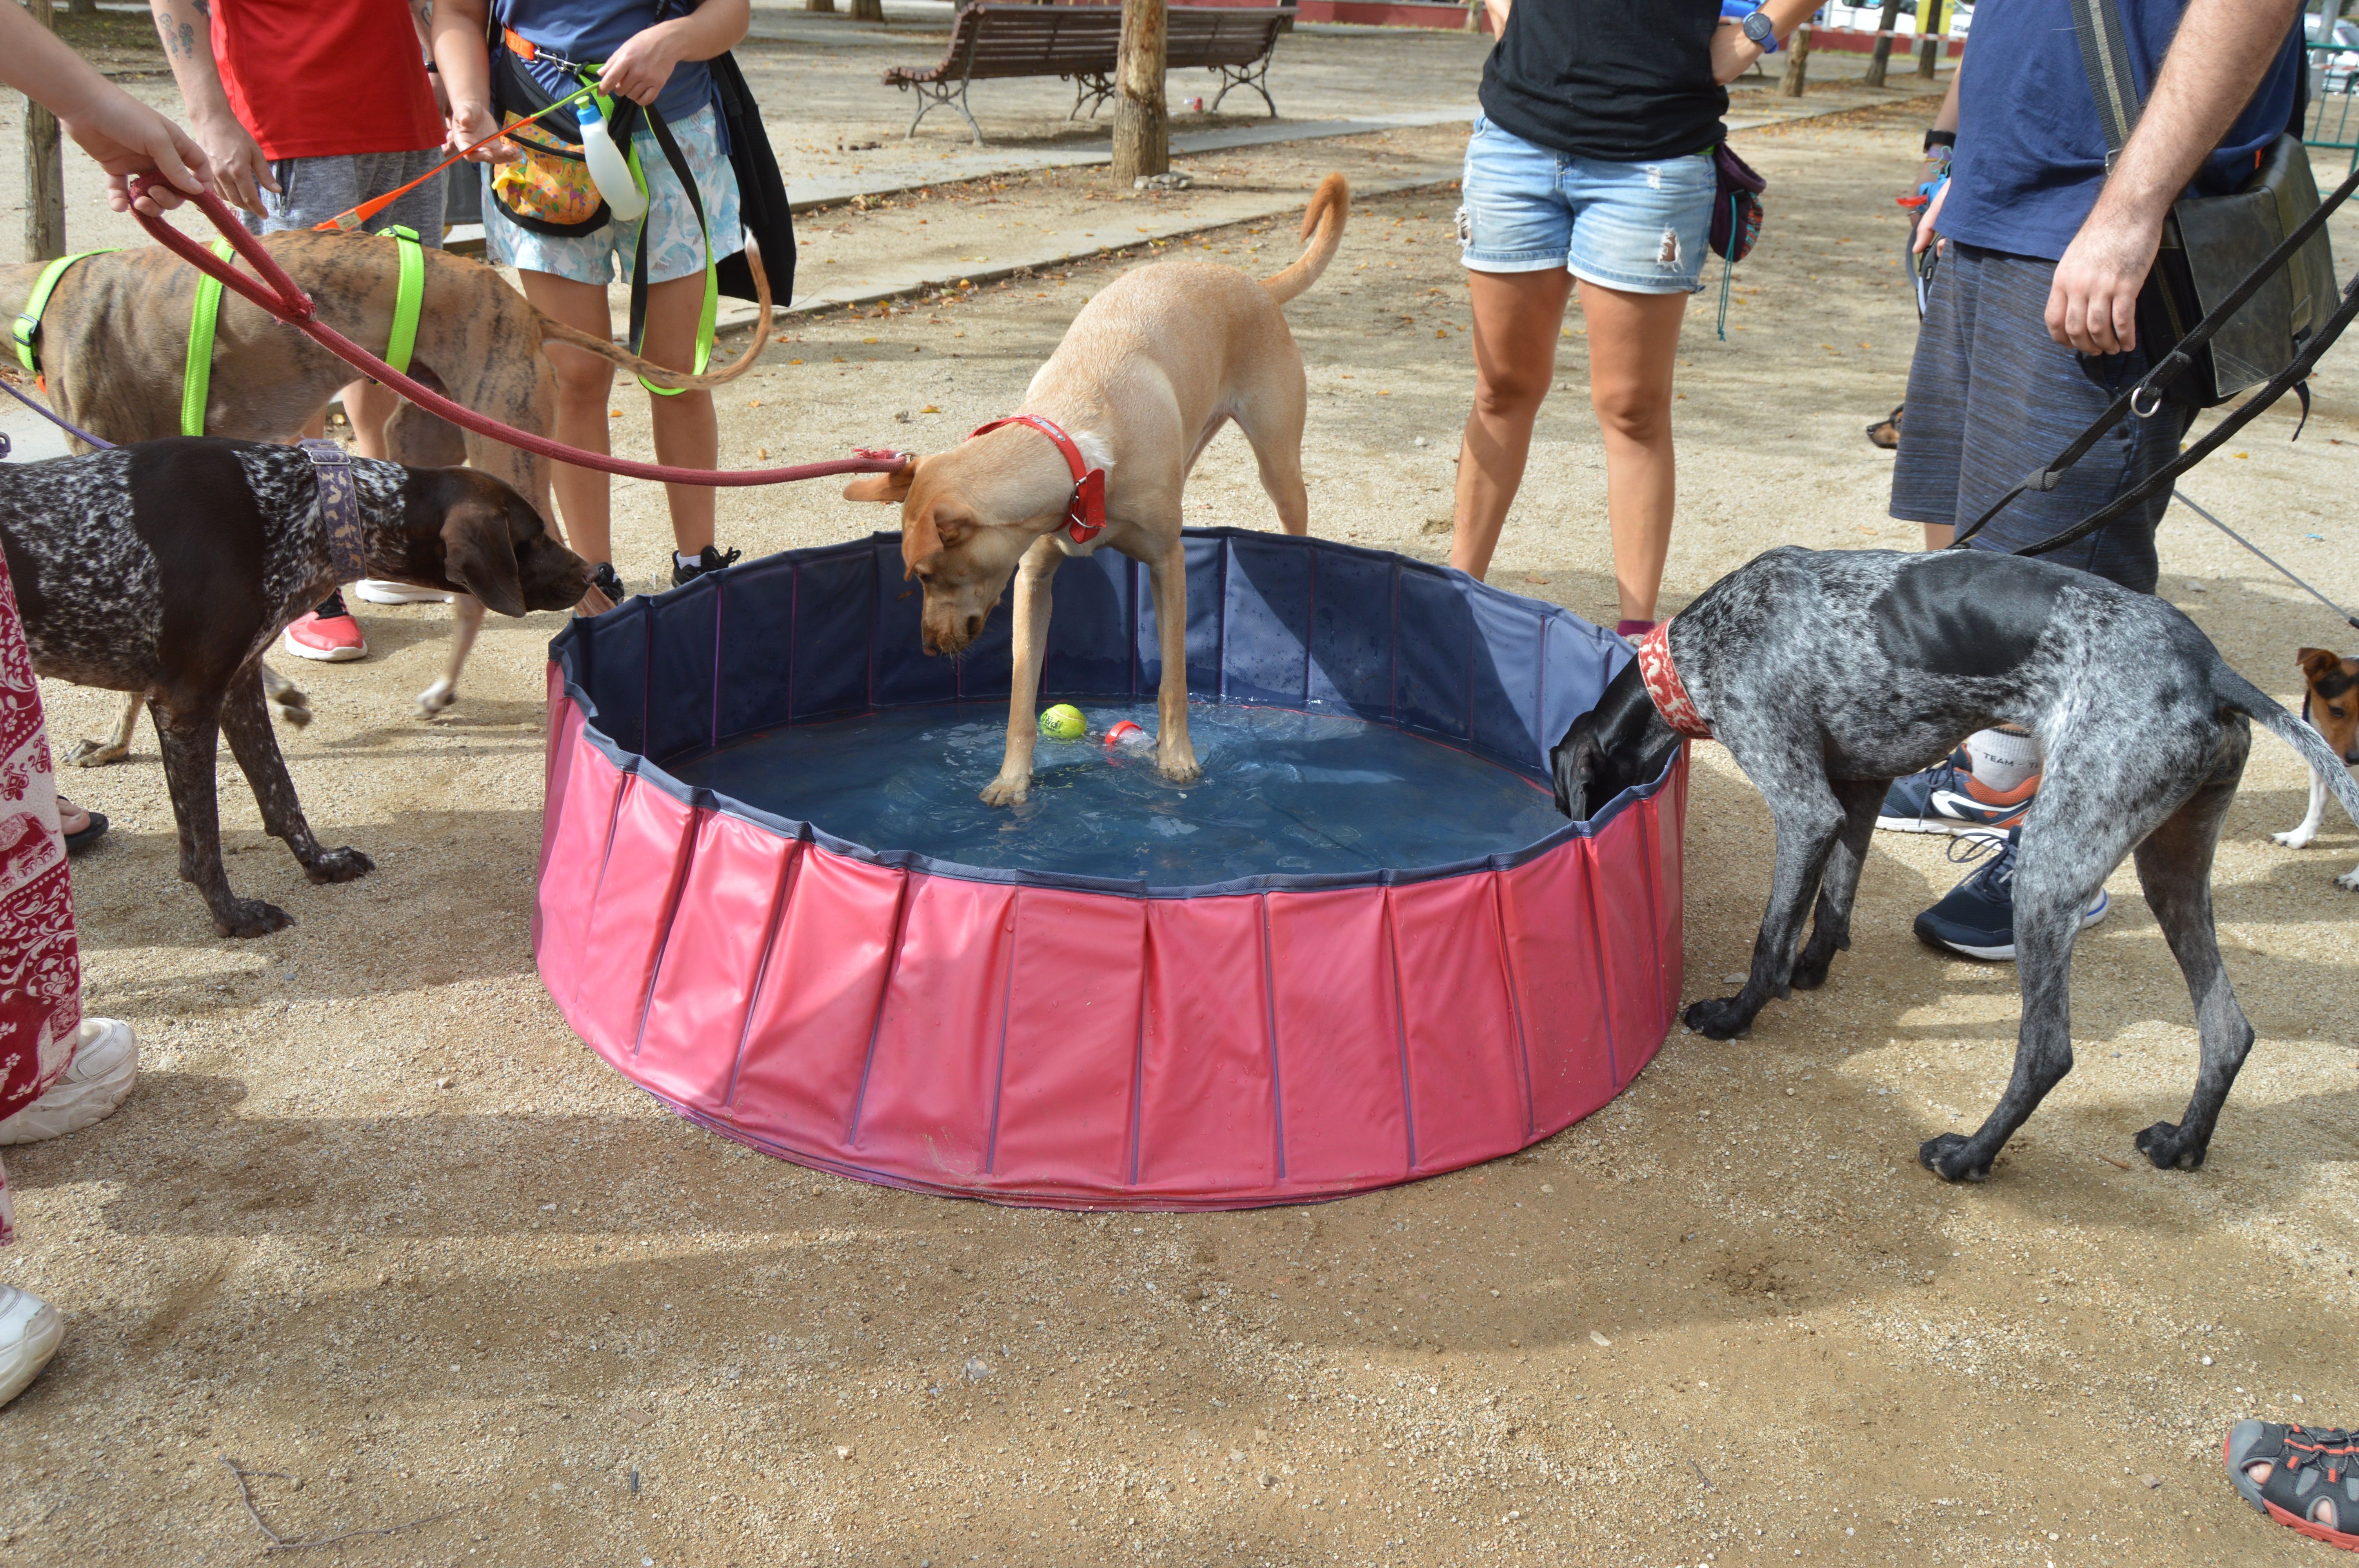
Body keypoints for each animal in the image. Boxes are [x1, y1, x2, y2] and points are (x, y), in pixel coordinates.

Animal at [0, 434, 587, 933]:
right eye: (533, 535)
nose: (592, 573)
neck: (307, 509)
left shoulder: (238, 686)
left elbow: (281, 794)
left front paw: (320, 862)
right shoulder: (186, 701)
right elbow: (204, 841)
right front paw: (232, 916)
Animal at [844, 177, 1349, 802]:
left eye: (928, 576)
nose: (930, 649)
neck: (1080, 445)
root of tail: (1250, 282)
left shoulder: (1169, 565)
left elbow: (1174, 685)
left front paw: (1176, 758)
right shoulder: (1033, 579)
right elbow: (1019, 700)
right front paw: (1012, 780)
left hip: (1278, 464)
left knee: (1293, 519)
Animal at [1547, 544, 2359, 1179]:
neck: (1699, 650)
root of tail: (2210, 668)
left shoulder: (1805, 806)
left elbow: (1769, 935)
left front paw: (1737, 1014)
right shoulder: (1859, 791)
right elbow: (1833, 904)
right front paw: (1810, 973)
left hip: (2048, 874)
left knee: (2048, 1052)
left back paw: (1968, 1158)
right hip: (2171, 871)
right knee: (2227, 1030)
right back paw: (2183, 1144)